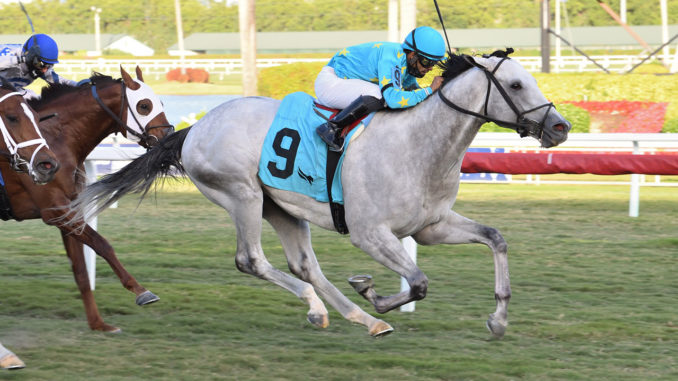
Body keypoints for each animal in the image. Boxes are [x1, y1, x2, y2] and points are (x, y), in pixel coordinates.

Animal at [3, 67, 173, 332]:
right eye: (144, 105)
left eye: (161, 102)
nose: (169, 138)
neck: (57, 142)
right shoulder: (55, 211)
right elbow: (103, 245)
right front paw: (141, 291)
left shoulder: (70, 210)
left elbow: (81, 270)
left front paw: (98, 323)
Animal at [70, 51, 568, 338]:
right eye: (517, 84)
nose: (560, 127)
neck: (419, 145)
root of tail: (196, 127)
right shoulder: (370, 233)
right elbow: (419, 282)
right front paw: (373, 291)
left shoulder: (431, 226)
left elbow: (495, 238)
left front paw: (498, 319)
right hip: (242, 195)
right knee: (252, 260)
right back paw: (339, 309)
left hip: (282, 207)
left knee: (304, 265)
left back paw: (357, 318)